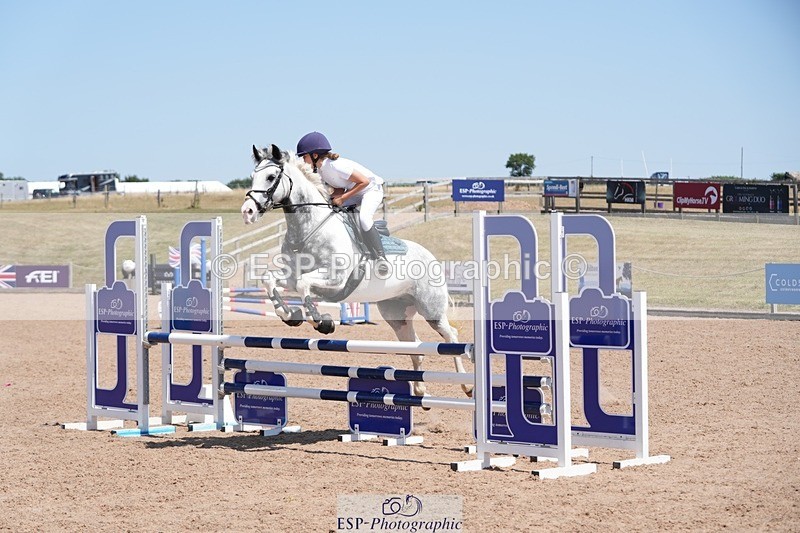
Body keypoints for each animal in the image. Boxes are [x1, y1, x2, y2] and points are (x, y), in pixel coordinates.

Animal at [240, 144, 470, 397]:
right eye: (252, 177)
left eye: (271, 177)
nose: (247, 211)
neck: (309, 228)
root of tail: (431, 257)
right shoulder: (292, 276)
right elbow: (270, 279)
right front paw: (290, 315)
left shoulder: (335, 279)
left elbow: (304, 285)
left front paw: (321, 322)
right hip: (396, 314)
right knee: (415, 345)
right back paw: (420, 390)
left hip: (431, 310)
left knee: (451, 337)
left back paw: (467, 386)